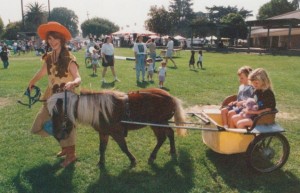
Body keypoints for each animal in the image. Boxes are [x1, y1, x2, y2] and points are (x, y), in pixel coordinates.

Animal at [47, 88, 185, 167]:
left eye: (56, 113)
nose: (56, 134)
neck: (99, 110)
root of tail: (170, 97)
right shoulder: (103, 133)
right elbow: (102, 148)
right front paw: (101, 162)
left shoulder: (117, 133)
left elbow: (123, 147)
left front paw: (132, 160)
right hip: (163, 122)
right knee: (170, 133)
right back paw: (172, 151)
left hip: (156, 124)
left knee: (162, 138)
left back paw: (152, 156)